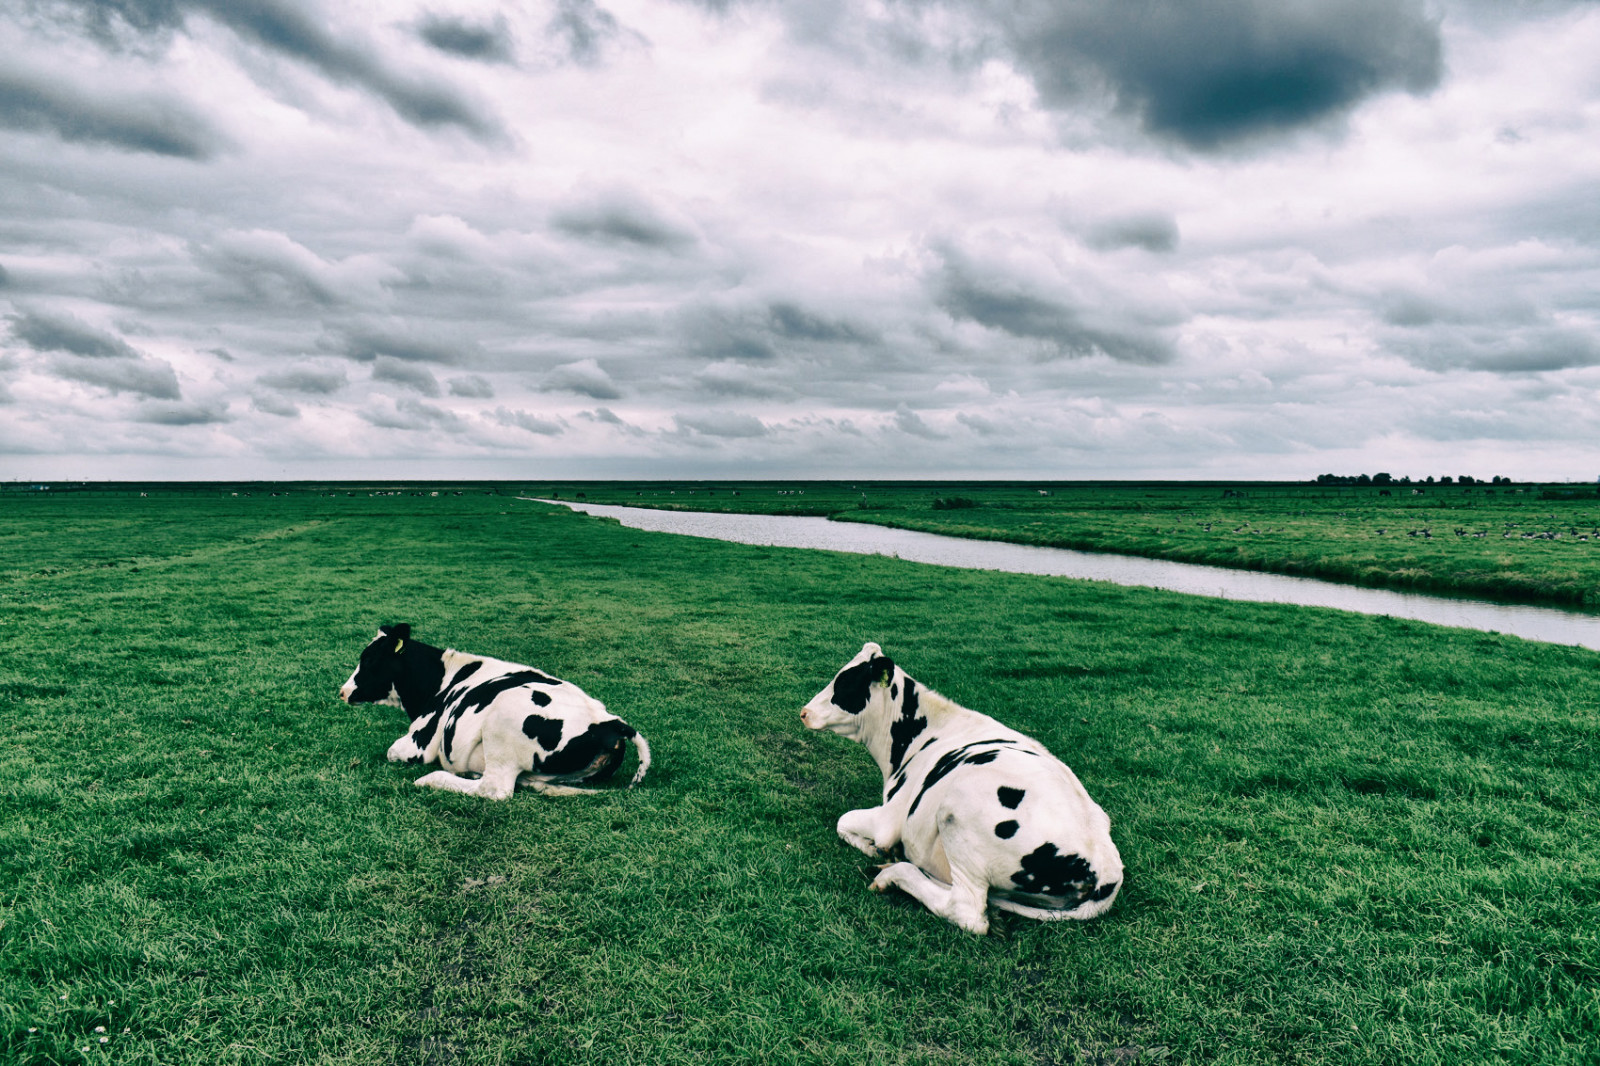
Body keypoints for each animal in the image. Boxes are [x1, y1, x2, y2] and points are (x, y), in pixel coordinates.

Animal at [339, 624, 649, 797]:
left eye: (369, 660)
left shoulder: (419, 743)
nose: (343, 691)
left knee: (494, 789)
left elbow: (392, 751)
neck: (440, 680)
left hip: (503, 718)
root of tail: (608, 721)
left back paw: (433, 780)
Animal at [800, 640, 1126, 928]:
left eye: (844, 684)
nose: (804, 712)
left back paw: (891, 874)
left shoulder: (888, 819)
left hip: (957, 812)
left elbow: (844, 821)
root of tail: (1106, 867)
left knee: (966, 910)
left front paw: (874, 850)